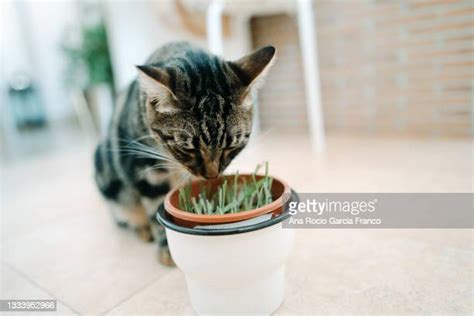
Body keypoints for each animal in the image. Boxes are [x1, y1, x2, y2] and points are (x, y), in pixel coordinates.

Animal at [94, 41, 276, 264]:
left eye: (230, 147)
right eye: (189, 148)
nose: (212, 175)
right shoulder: (143, 167)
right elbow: (157, 209)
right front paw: (165, 248)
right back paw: (142, 229)